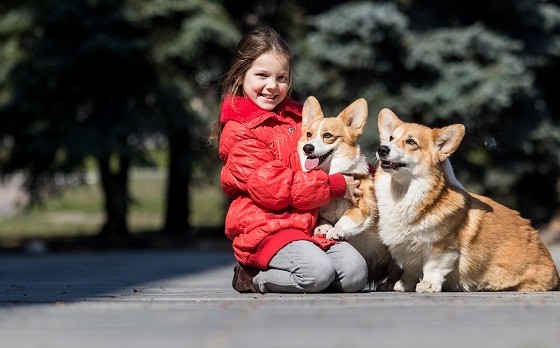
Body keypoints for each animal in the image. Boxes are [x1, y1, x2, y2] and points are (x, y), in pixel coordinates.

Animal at [298, 96, 398, 286]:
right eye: (309, 134)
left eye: (328, 135)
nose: (307, 148)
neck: (332, 173)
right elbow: (324, 219)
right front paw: (323, 228)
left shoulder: (364, 207)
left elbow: (347, 218)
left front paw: (336, 230)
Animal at [372, 108, 560, 290]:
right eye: (391, 138)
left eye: (411, 142)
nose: (382, 149)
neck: (403, 194)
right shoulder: (408, 252)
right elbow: (409, 271)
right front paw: (403, 285)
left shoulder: (442, 249)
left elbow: (432, 267)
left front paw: (428, 285)